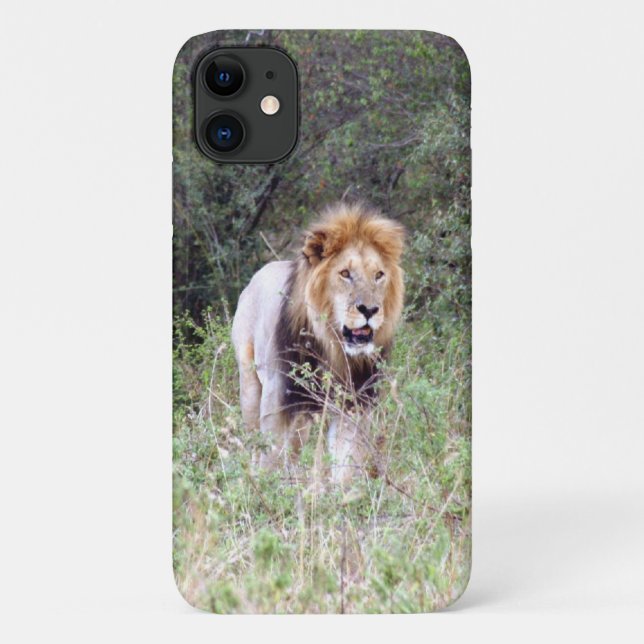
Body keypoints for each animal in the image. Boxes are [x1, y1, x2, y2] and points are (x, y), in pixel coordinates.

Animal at [231, 202, 405, 485]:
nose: (370, 309)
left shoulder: (352, 405)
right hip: (250, 387)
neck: (333, 347)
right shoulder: (277, 398)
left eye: (379, 275)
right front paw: (265, 488)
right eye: (345, 273)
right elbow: (270, 456)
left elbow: (346, 464)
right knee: (256, 441)